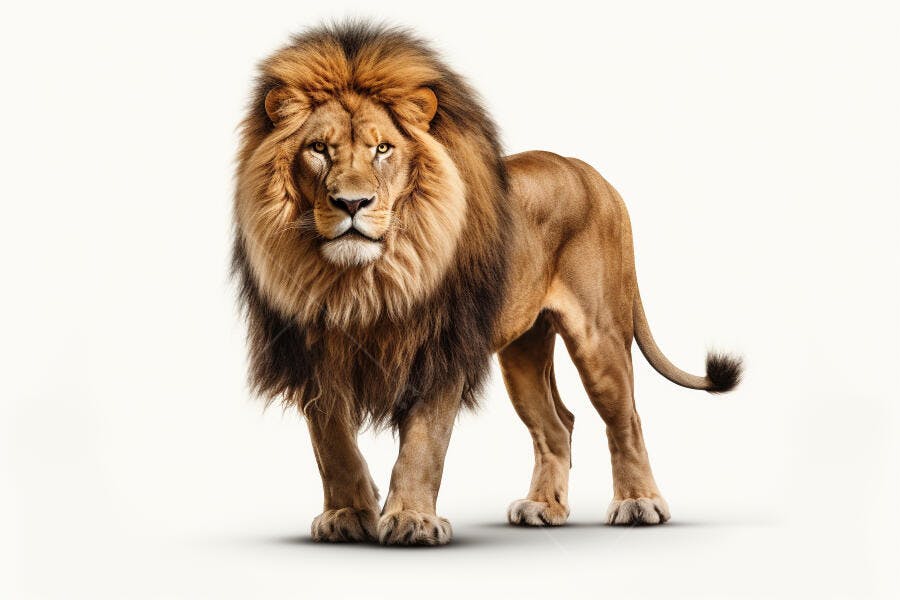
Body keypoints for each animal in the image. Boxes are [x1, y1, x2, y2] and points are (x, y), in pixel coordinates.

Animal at [232, 22, 742, 546]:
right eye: (319, 149)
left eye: (382, 148)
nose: (352, 203)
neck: (364, 280)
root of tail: (593, 175)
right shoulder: (311, 354)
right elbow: (332, 445)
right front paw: (347, 515)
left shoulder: (439, 348)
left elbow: (424, 443)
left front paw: (412, 520)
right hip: (523, 350)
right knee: (558, 425)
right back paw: (543, 507)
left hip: (599, 335)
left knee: (628, 420)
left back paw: (639, 503)